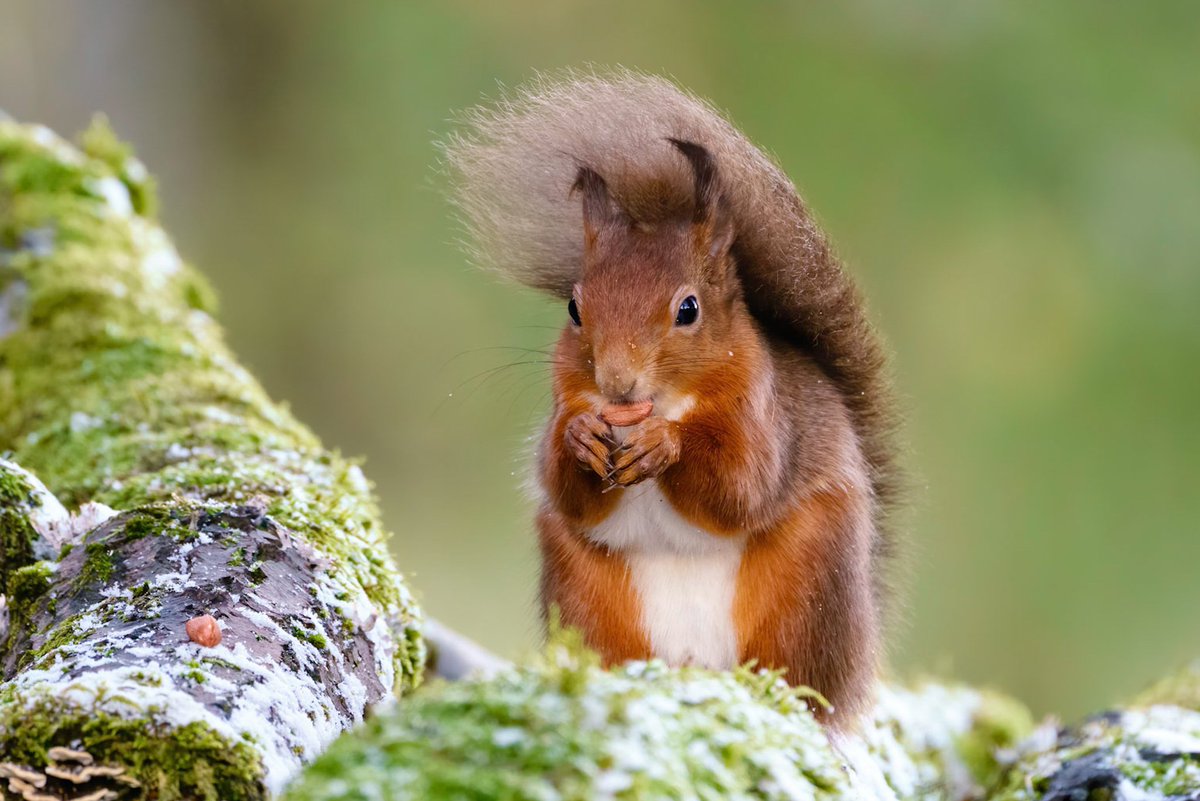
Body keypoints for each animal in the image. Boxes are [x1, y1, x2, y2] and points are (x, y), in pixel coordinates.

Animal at [443, 70, 899, 726]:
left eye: (689, 309)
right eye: (575, 307)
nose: (617, 382)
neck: (659, 403)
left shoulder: (766, 420)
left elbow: (739, 487)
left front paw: (665, 445)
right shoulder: (566, 402)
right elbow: (566, 488)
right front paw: (581, 438)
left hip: (809, 585)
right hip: (587, 595)